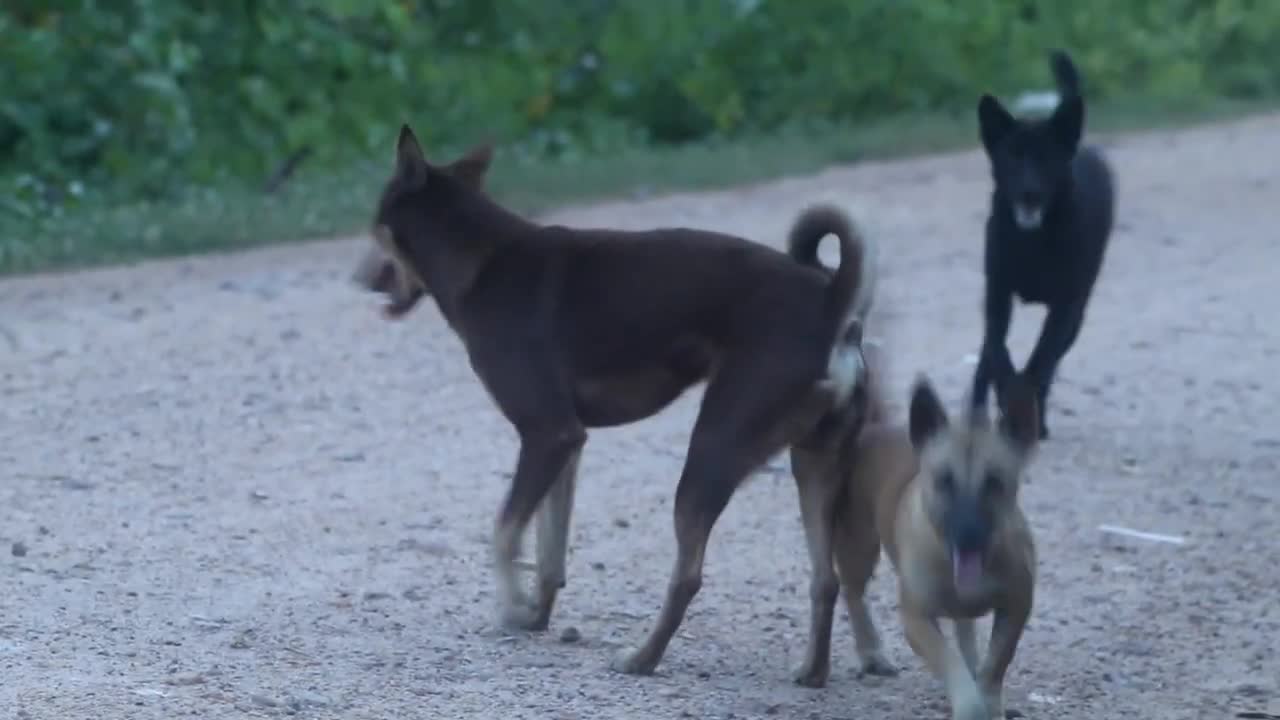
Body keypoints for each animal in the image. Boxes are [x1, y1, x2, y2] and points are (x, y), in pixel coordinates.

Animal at [350, 124, 880, 676]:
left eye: (375, 228)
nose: (360, 279)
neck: (481, 259)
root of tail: (831, 307)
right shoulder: (565, 445)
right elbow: (549, 548)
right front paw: (536, 613)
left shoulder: (546, 433)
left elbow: (504, 532)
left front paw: (513, 608)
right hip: (815, 463)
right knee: (826, 578)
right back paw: (812, 673)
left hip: (713, 450)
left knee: (688, 576)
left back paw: (642, 658)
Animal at [808, 376, 1039, 717]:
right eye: (944, 480)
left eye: (995, 482)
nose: (968, 535)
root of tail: (875, 428)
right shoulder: (917, 620)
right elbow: (949, 660)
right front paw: (971, 705)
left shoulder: (1017, 606)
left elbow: (997, 662)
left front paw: (988, 699)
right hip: (859, 546)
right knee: (853, 591)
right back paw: (871, 651)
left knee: (965, 631)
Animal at [967, 50, 1111, 438]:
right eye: (1012, 158)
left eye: (1047, 159)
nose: (1029, 192)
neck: (1033, 243)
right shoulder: (996, 293)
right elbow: (997, 351)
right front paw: (1005, 396)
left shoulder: (1065, 306)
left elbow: (1040, 361)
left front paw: (1023, 409)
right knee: (986, 356)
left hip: (1078, 312)